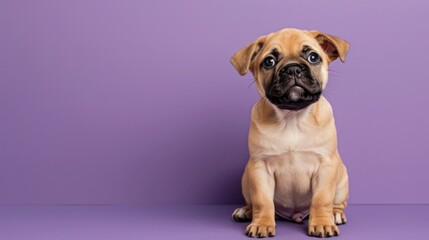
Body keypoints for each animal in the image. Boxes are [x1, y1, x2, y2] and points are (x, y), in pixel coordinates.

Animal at [231, 28, 348, 238]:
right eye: (269, 61)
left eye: (313, 57)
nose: (293, 68)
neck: (292, 117)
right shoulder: (259, 168)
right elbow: (262, 200)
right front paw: (261, 224)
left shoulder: (326, 166)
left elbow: (321, 199)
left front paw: (322, 223)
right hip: (246, 177)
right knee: (253, 202)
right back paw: (246, 211)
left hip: (342, 178)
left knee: (336, 203)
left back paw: (335, 214)